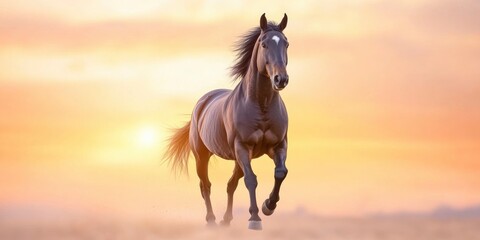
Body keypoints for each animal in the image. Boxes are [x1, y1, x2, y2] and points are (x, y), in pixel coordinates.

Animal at [163, 13, 290, 231]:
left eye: (286, 43)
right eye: (264, 44)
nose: (280, 79)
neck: (262, 105)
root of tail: (202, 103)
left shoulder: (278, 145)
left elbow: (280, 172)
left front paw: (268, 206)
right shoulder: (242, 147)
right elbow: (251, 180)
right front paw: (254, 218)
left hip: (238, 158)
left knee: (231, 184)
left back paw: (226, 220)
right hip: (202, 156)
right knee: (206, 185)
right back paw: (212, 220)